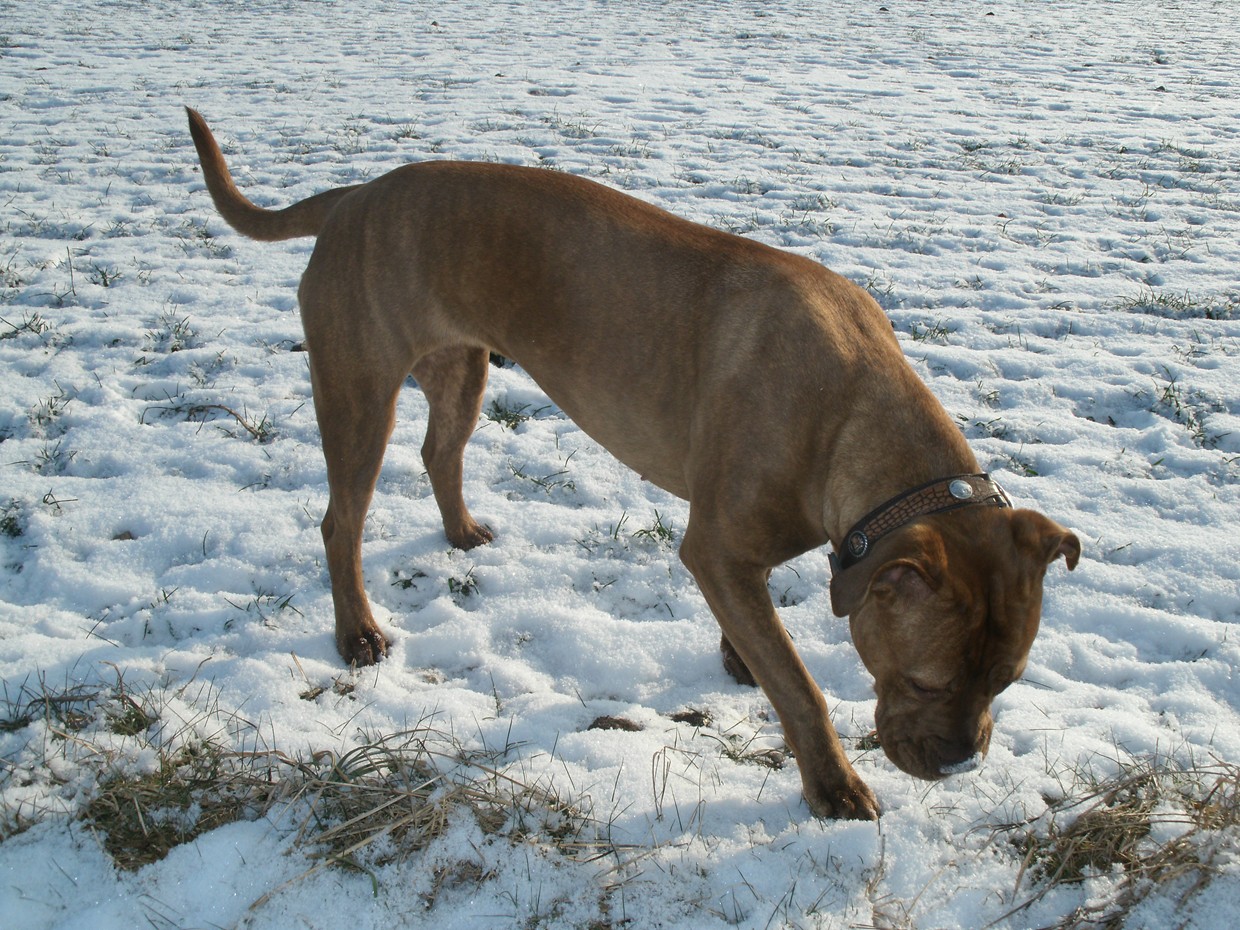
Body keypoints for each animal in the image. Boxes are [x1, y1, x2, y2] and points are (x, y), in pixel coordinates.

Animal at [186, 110, 1086, 823]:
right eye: (928, 682)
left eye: (1006, 682)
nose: (961, 763)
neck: (853, 424)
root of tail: (353, 197)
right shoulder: (715, 547)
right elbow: (800, 686)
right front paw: (832, 786)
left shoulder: (736, 556)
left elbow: (761, 637)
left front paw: (740, 657)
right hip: (358, 392)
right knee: (341, 520)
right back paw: (358, 632)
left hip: (460, 367)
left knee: (440, 451)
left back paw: (461, 531)